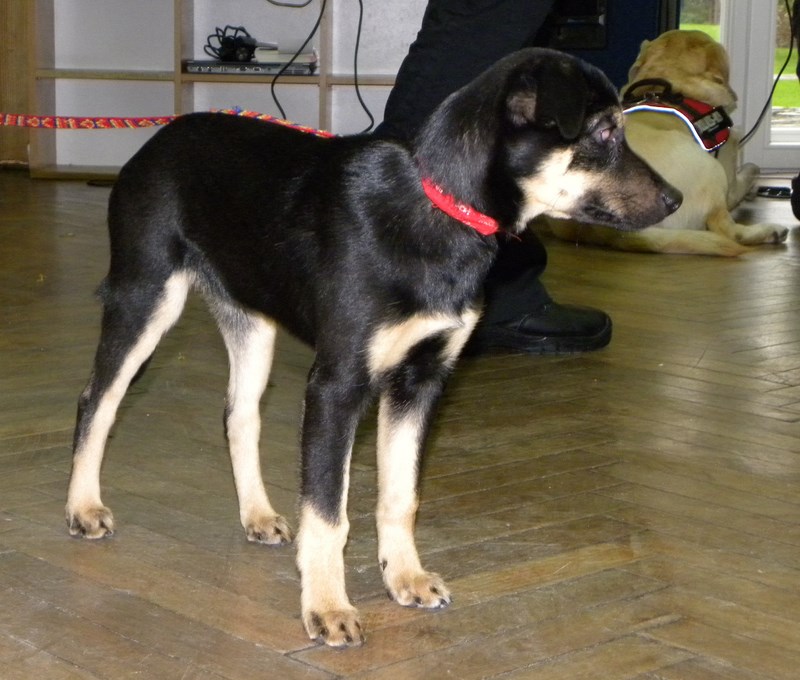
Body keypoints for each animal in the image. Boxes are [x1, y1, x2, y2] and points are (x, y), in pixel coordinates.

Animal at [65, 47, 680, 647]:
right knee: (98, 401)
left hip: (251, 322)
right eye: (604, 132)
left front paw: (405, 577)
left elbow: (400, 495)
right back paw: (83, 506)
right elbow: (327, 513)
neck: (437, 208)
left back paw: (256, 514)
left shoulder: (419, 382)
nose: (674, 200)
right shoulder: (337, 386)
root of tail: (158, 139)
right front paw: (327, 608)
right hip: (146, 300)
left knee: (238, 415)